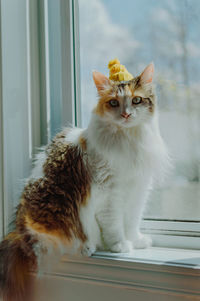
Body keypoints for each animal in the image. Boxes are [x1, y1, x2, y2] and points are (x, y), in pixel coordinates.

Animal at [0, 62, 169, 298]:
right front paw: (120, 246)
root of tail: (19, 230)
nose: (126, 114)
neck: (129, 141)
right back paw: (87, 247)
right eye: (114, 102)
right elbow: (115, 225)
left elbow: (132, 221)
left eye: (136, 100)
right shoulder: (109, 195)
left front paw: (135, 241)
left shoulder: (138, 190)